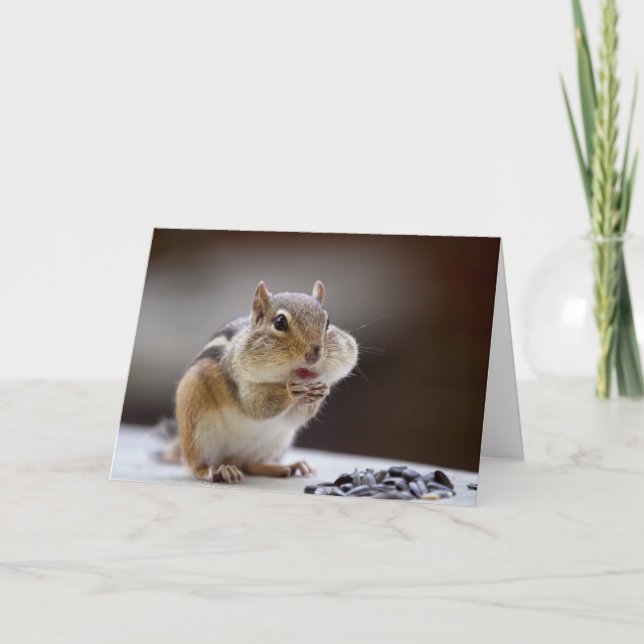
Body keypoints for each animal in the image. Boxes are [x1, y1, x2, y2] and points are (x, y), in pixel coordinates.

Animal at [175, 280, 358, 484]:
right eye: (280, 322)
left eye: (327, 323)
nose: (314, 354)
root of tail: (233, 458)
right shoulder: (239, 379)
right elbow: (257, 406)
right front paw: (291, 391)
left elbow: (298, 416)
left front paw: (321, 391)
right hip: (195, 428)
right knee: (195, 464)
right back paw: (217, 471)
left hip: (277, 441)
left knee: (252, 464)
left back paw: (288, 466)